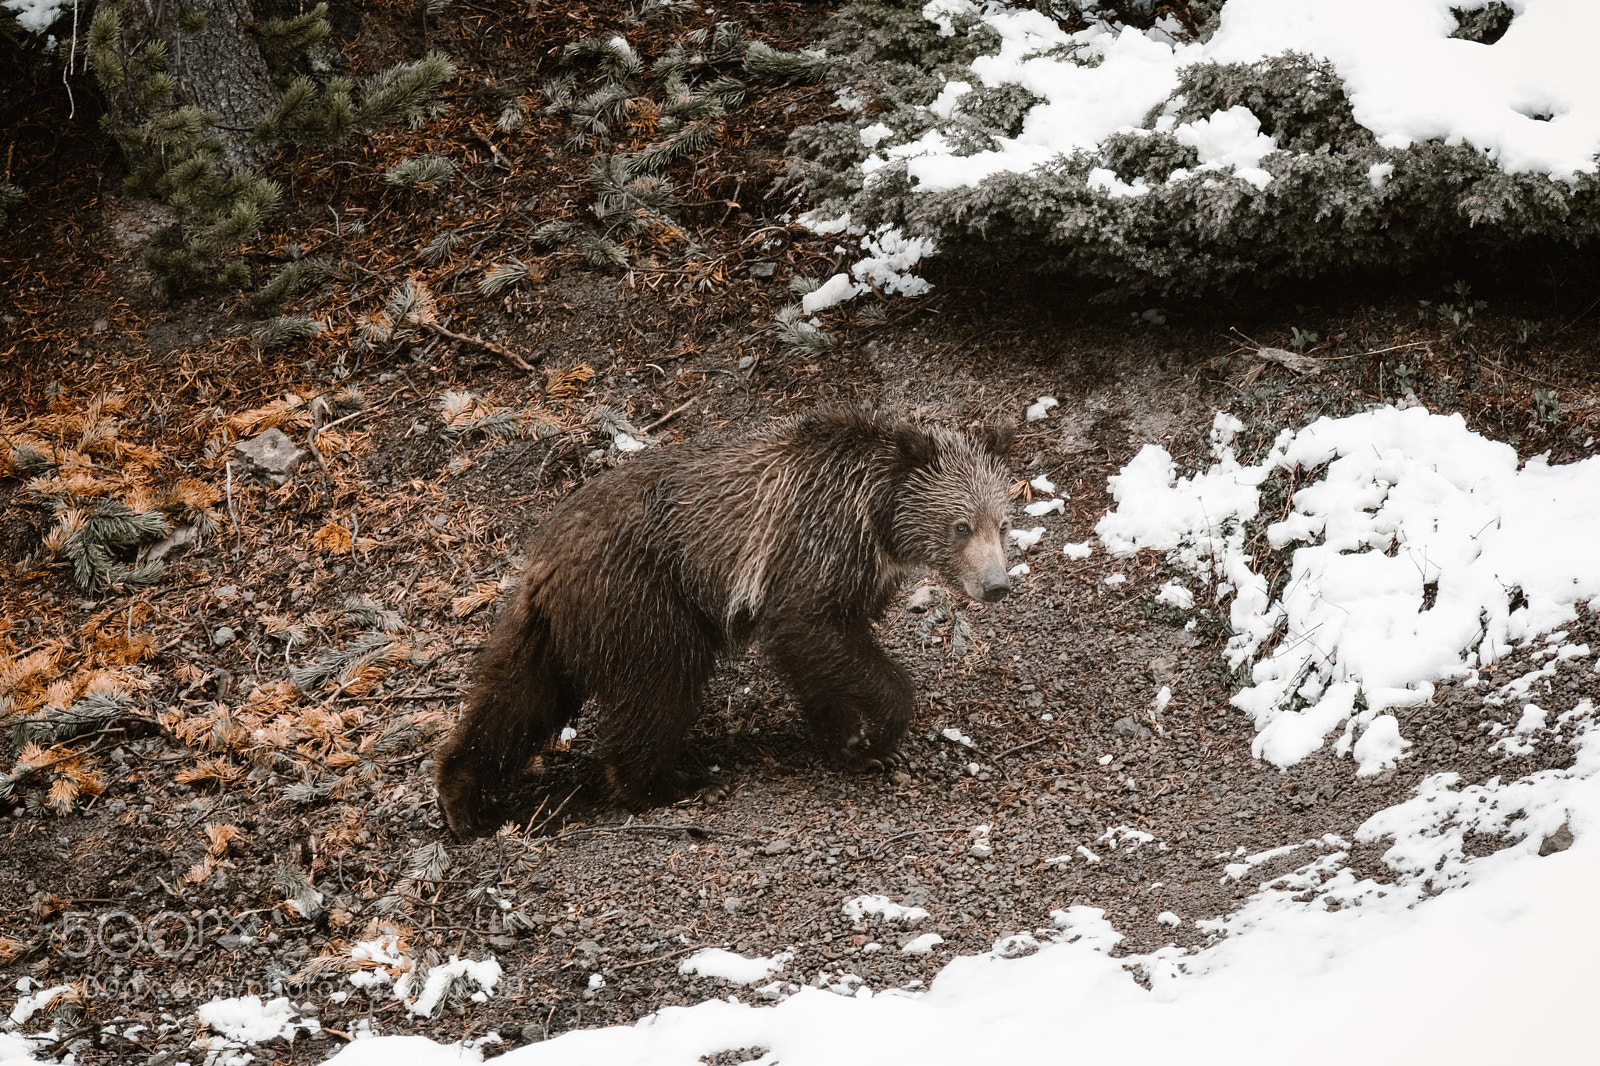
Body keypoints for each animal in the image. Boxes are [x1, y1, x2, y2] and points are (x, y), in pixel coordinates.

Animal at [435, 408, 1015, 837]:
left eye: (1002, 522)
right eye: (961, 525)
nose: (996, 584)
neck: (877, 519)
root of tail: (543, 558)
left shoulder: (849, 578)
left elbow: (817, 662)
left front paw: (849, 745)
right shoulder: (813, 546)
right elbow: (819, 636)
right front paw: (880, 737)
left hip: (558, 625)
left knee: (517, 698)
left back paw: (461, 796)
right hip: (644, 598)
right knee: (658, 686)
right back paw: (669, 785)